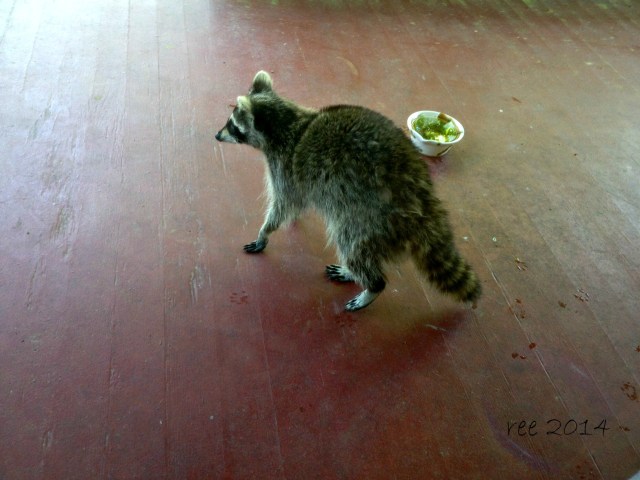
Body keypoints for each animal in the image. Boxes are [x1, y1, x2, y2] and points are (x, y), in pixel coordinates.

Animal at [215, 71, 481, 311]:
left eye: (233, 125)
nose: (217, 135)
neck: (286, 121)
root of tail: (421, 196)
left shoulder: (286, 166)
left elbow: (284, 203)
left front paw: (265, 231)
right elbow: (297, 202)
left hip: (370, 219)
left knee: (351, 244)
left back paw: (371, 285)